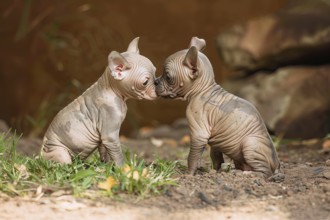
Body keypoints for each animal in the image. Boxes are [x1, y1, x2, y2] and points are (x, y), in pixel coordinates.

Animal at [41, 37, 157, 166]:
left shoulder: (103, 136)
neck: (115, 92)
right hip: (60, 153)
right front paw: (123, 168)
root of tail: (40, 155)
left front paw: (106, 165)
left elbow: (104, 151)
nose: (158, 85)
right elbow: (118, 155)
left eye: (155, 72)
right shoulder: (110, 136)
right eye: (145, 82)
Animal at [157, 36, 284, 180]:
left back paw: (247, 174)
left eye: (167, 76)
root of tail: (277, 165)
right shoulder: (215, 139)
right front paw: (215, 171)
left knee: (265, 173)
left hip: (250, 143)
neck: (203, 90)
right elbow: (215, 157)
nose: (155, 81)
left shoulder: (198, 135)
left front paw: (189, 175)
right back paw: (236, 170)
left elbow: (192, 157)